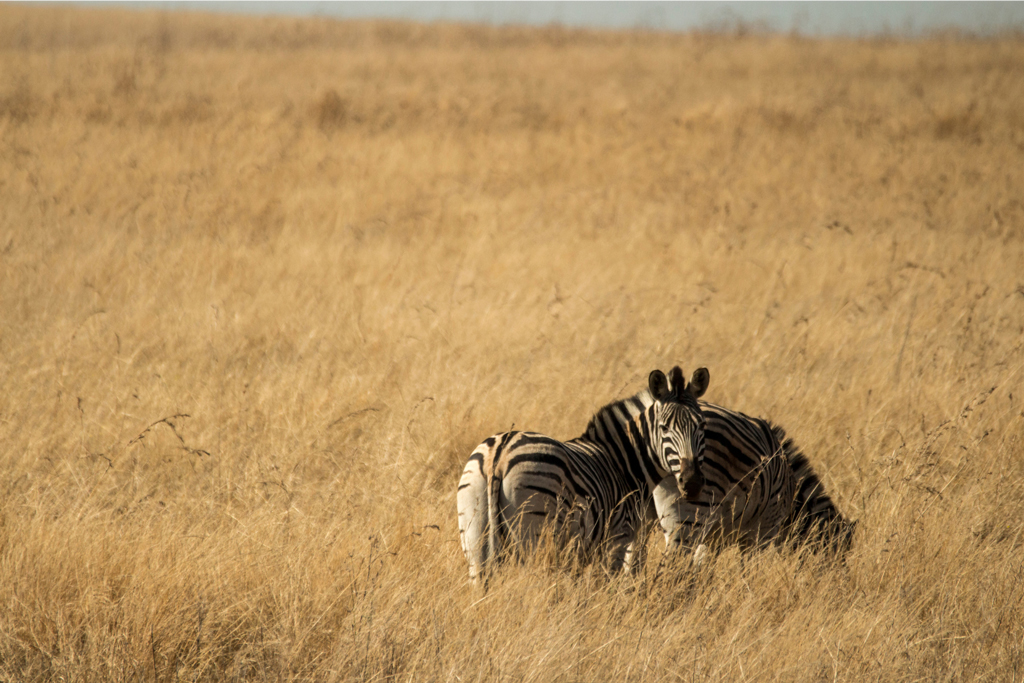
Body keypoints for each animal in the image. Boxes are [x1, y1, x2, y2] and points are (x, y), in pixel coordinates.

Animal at [458, 366, 708, 585]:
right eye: (664, 428)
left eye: (702, 426)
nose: (692, 483)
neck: (623, 462)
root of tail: (499, 454)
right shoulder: (617, 537)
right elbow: (605, 586)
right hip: (533, 536)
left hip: (474, 536)